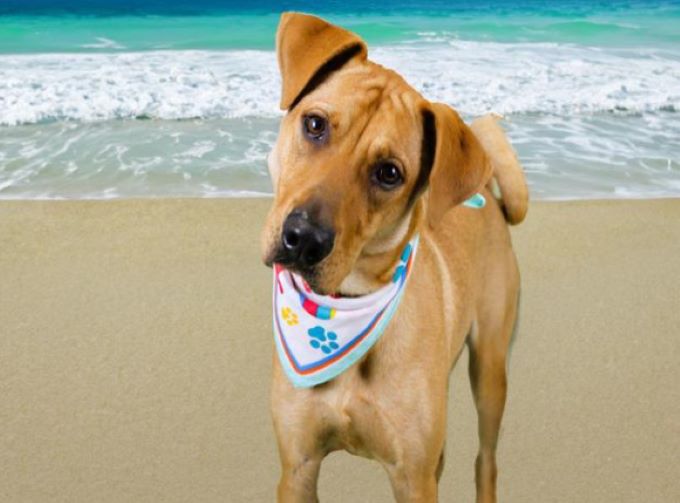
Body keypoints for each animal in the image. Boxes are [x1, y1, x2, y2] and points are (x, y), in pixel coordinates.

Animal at [258, 12, 524, 503]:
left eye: (389, 173)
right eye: (315, 124)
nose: (302, 239)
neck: (340, 311)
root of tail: (489, 195)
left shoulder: (411, 478)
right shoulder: (298, 467)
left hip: (491, 368)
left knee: (486, 460)